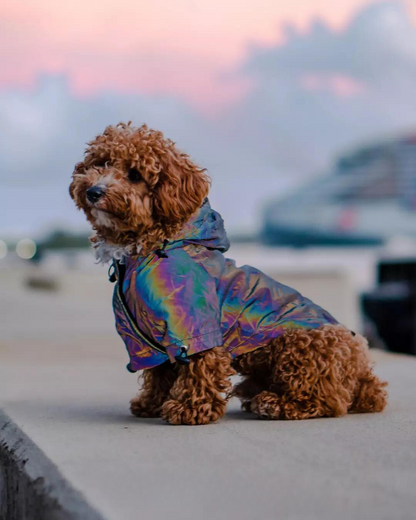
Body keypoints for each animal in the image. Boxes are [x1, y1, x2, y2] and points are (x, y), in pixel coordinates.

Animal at [70, 123, 386, 426]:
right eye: (100, 163)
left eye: (134, 174)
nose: (93, 191)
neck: (150, 245)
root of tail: (364, 377)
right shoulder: (146, 334)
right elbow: (159, 369)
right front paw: (152, 403)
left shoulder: (195, 323)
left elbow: (200, 363)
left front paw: (190, 409)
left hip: (304, 344)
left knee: (328, 400)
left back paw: (276, 404)